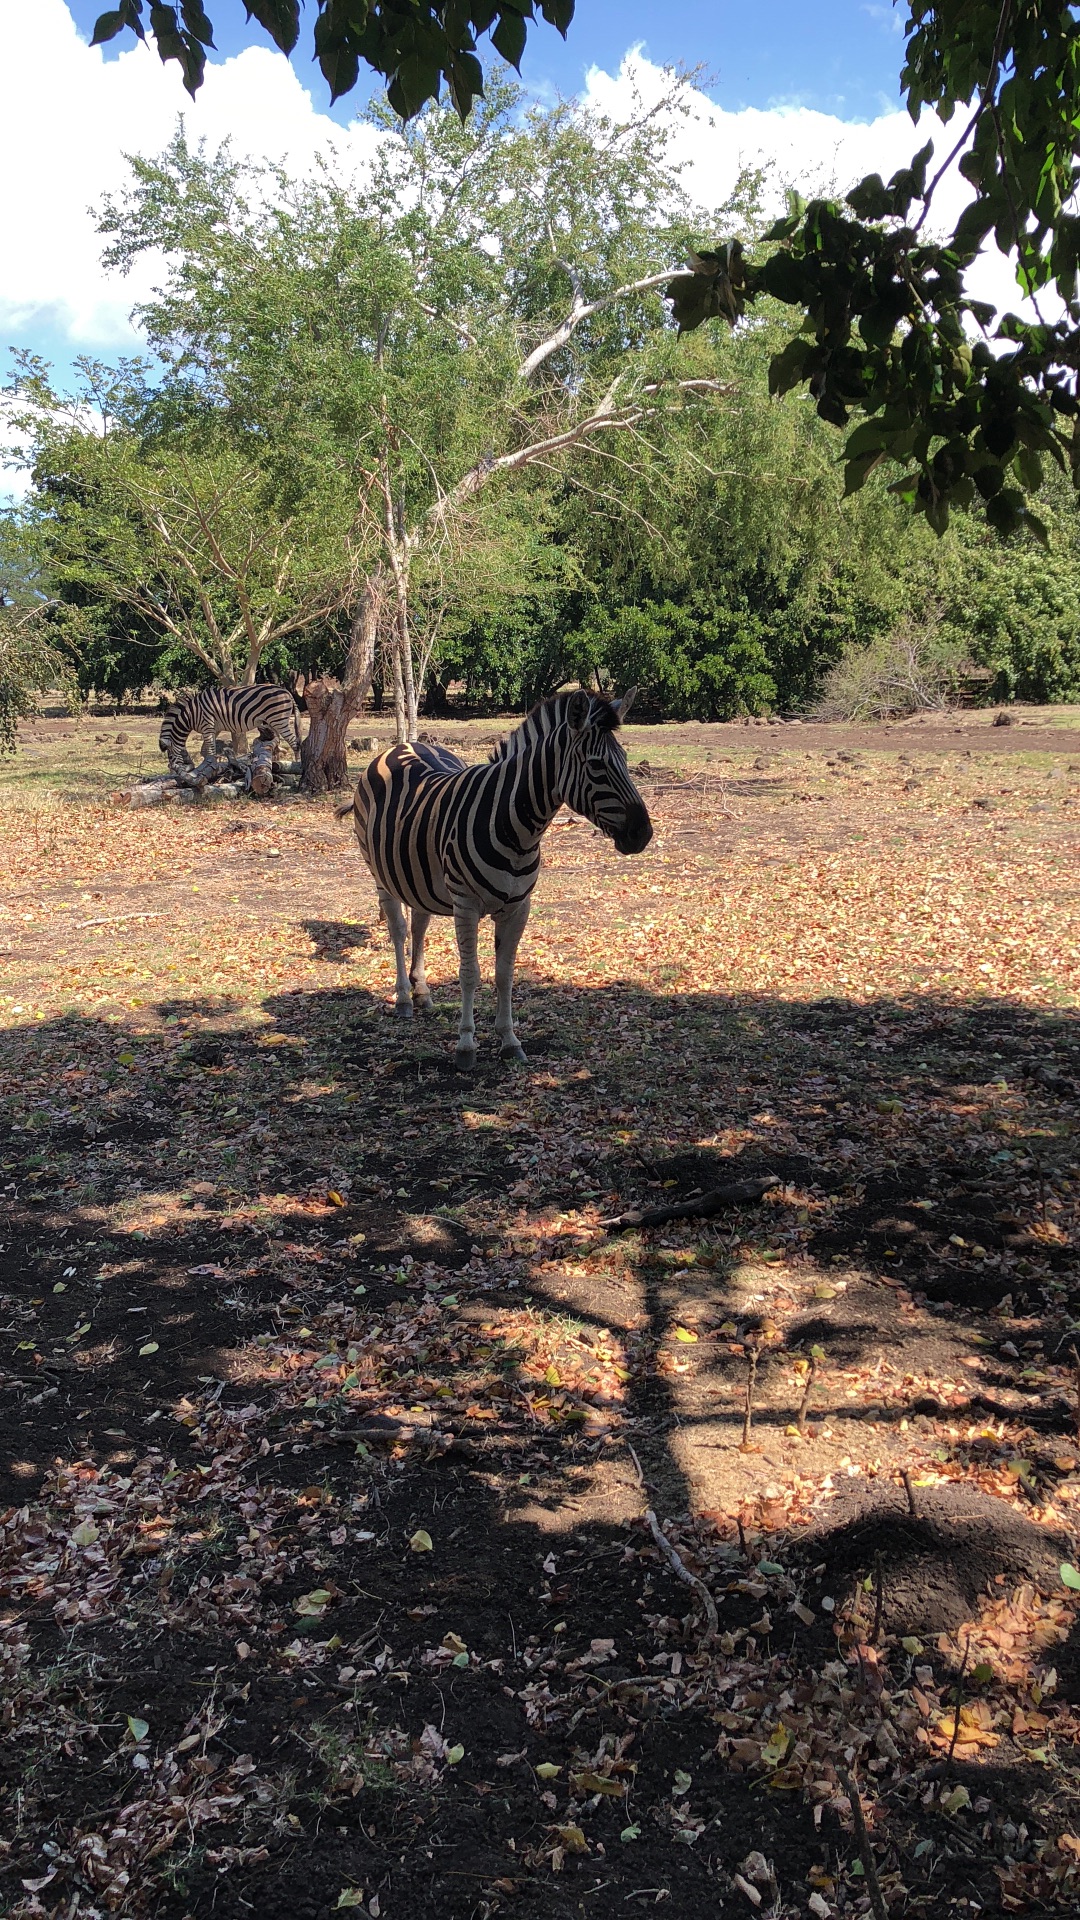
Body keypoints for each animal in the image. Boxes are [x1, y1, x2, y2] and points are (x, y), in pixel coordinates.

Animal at [156, 679, 297, 760]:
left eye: (170, 757)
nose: (173, 772)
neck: (191, 714)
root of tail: (286, 691)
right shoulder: (213, 729)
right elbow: (205, 751)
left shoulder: (207, 726)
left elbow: (210, 751)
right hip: (273, 722)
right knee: (277, 741)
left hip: (279, 720)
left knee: (294, 742)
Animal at [336, 691, 645, 1075]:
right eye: (596, 766)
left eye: (625, 761)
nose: (644, 834)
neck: (518, 828)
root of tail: (403, 745)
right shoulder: (466, 904)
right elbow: (470, 972)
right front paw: (466, 1045)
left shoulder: (518, 906)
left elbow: (504, 974)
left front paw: (509, 1041)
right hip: (381, 874)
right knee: (398, 931)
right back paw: (405, 998)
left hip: (420, 877)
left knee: (419, 924)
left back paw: (421, 991)